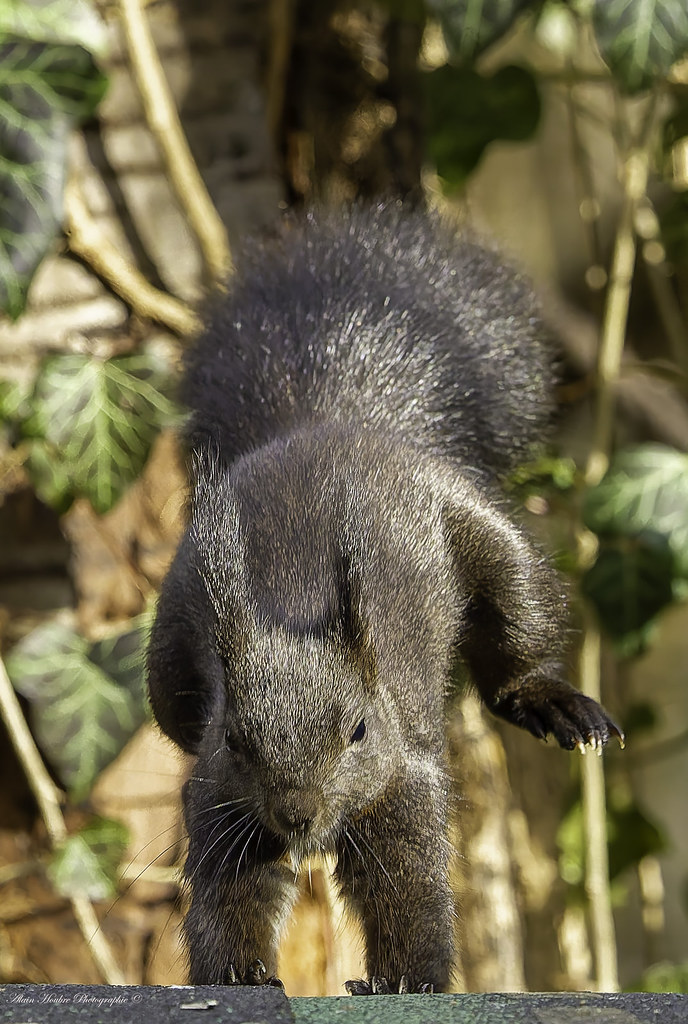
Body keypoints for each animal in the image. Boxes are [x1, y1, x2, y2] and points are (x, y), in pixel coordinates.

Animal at [146, 199, 622, 991]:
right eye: (237, 739)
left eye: (360, 731)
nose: (298, 815)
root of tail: (333, 418)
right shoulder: (219, 794)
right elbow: (229, 894)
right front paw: (238, 975)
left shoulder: (406, 781)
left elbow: (407, 888)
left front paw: (408, 978)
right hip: (167, 664)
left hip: (492, 543)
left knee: (515, 649)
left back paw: (552, 701)